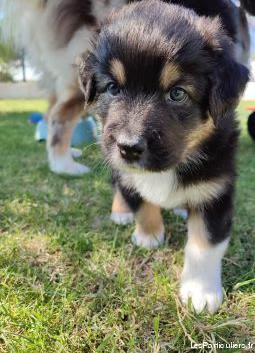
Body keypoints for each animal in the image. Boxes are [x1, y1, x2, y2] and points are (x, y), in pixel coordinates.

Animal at [79, 0, 253, 314]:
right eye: (113, 88)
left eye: (177, 94)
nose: (129, 147)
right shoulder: (126, 172)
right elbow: (140, 202)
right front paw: (148, 236)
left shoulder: (216, 189)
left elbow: (205, 244)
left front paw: (200, 292)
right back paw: (121, 211)